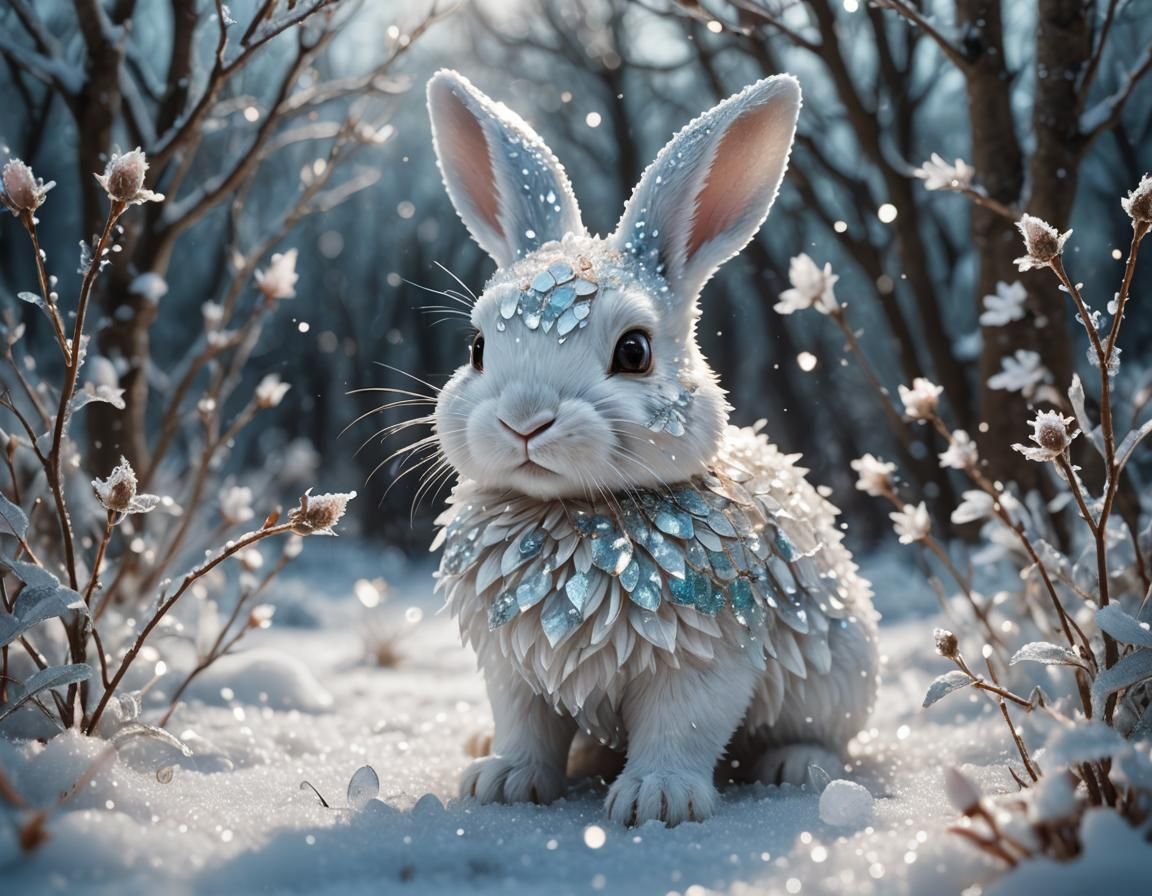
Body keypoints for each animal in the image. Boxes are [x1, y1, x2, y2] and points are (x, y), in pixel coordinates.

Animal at [425, 69, 879, 827]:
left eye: (634, 351)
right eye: (477, 347)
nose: (524, 420)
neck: (575, 512)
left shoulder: (707, 659)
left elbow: (682, 729)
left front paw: (655, 802)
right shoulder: (514, 667)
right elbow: (526, 728)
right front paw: (503, 784)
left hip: (837, 677)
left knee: (824, 736)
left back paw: (795, 766)